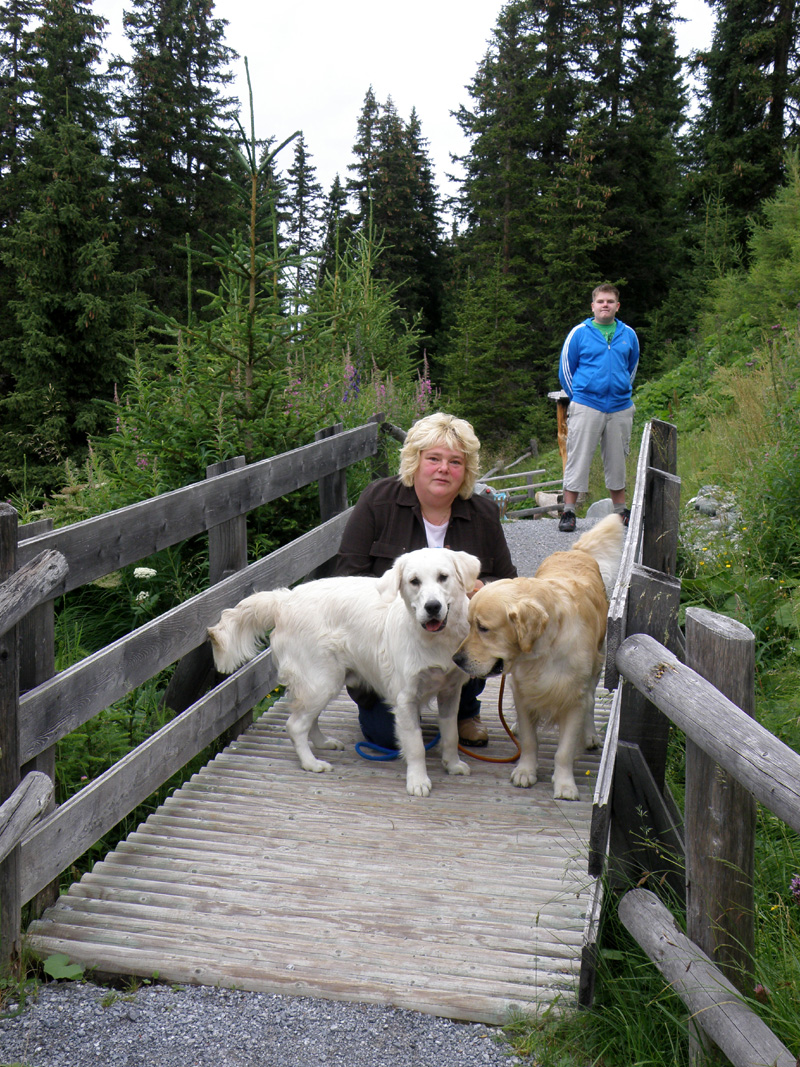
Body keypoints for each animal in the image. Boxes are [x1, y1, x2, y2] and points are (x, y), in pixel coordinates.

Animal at [208, 550, 482, 793]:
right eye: (414, 581)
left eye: (443, 577)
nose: (432, 607)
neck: (436, 639)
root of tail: (284, 599)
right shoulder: (406, 699)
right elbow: (415, 745)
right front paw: (417, 781)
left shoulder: (451, 692)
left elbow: (451, 733)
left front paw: (453, 764)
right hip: (321, 680)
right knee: (295, 725)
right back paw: (311, 763)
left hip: (324, 681)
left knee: (309, 720)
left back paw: (323, 743)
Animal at [454, 512, 622, 798]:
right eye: (469, 624)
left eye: (483, 628)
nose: (457, 660)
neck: (543, 651)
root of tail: (575, 551)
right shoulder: (523, 691)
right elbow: (530, 740)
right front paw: (525, 771)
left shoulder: (573, 698)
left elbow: (564, 750)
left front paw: (565, 784)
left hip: (597, 665)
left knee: (591, 700)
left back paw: (589, 735)